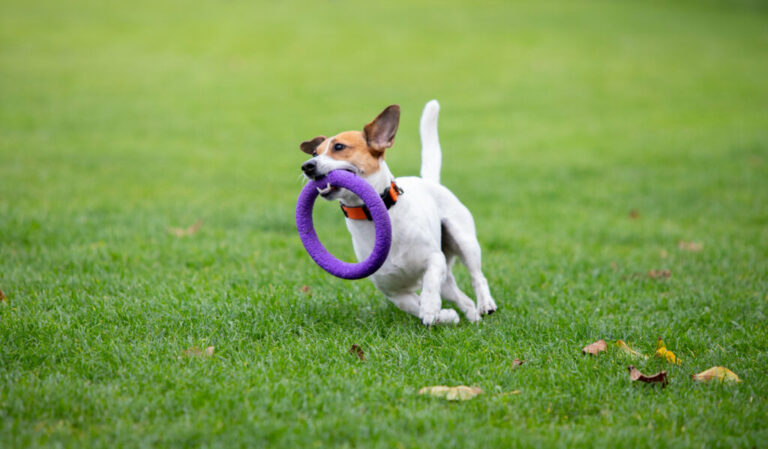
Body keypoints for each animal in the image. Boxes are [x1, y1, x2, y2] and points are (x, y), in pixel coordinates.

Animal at [300, 100, 498, 324]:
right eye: (315, 153)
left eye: (339, 147)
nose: (306, 166)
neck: (373, 215)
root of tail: (429, 181)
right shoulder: (394, 292)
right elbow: (413, 305)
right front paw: (443, 315)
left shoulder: (434, 258)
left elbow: (430, 284)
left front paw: (430, 307)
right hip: (447, 281)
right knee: (461, 297)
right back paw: (472, 316)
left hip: (464, 240)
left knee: (477, 276)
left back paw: (485, 304)